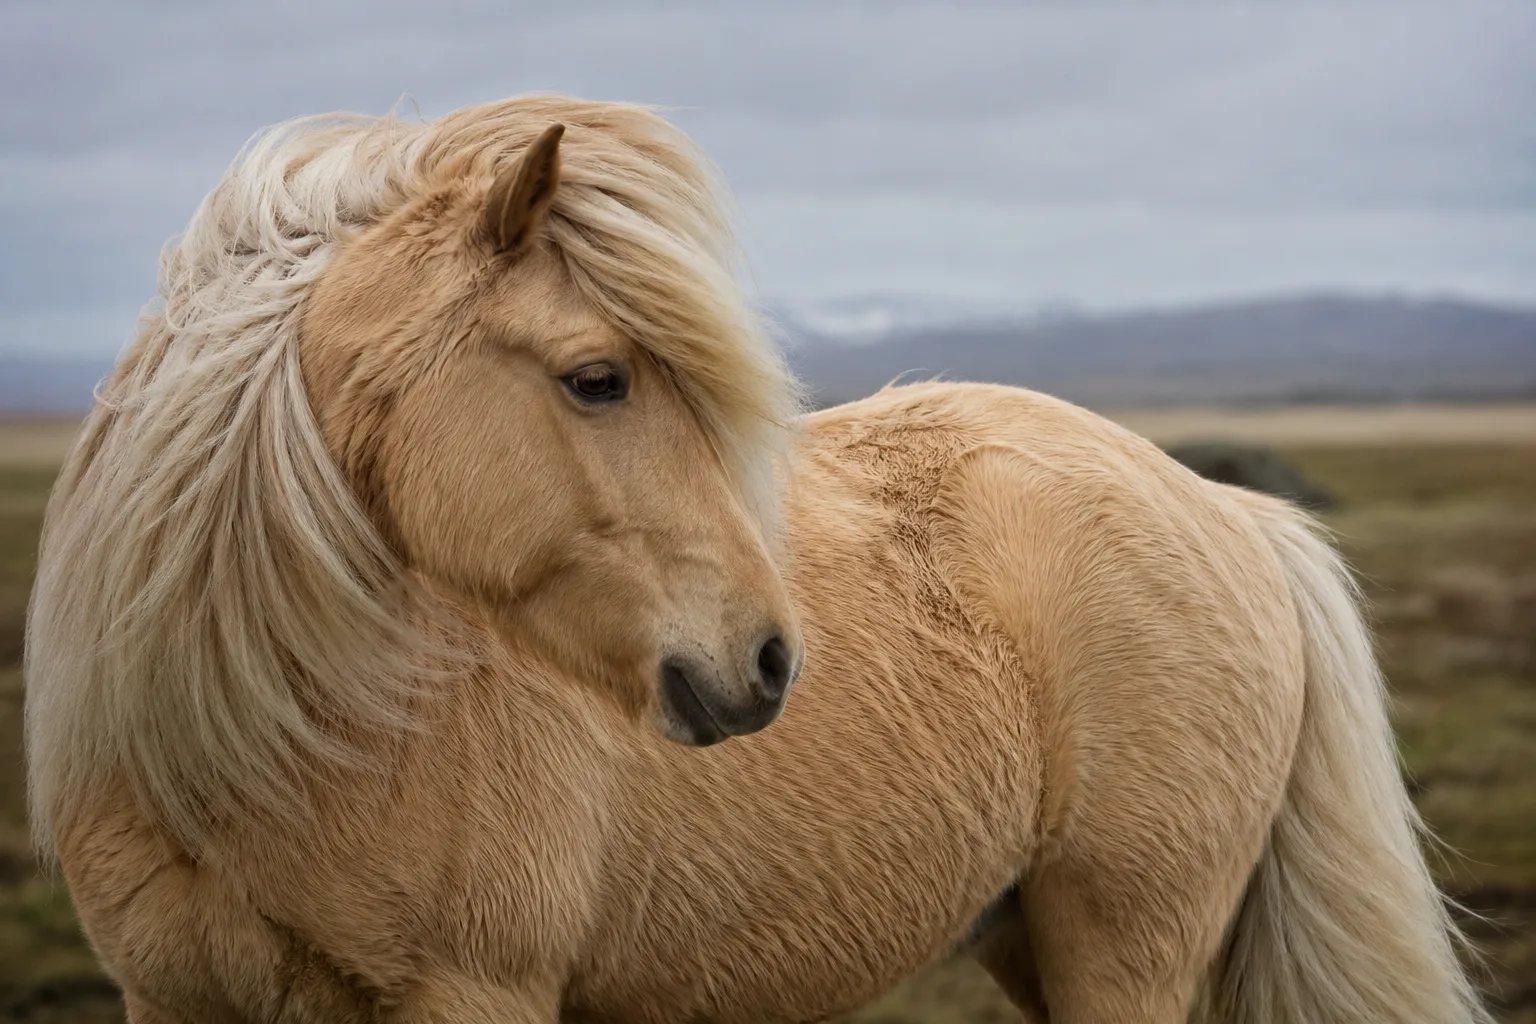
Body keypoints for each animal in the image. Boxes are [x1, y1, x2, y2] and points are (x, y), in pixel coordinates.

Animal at [25, 94, 1488, 1024]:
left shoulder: (473, 993)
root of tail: (1228, 509)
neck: (253, 762)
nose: (769, 660)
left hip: (1121, 940)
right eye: (597, 378)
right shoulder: (169, 998)